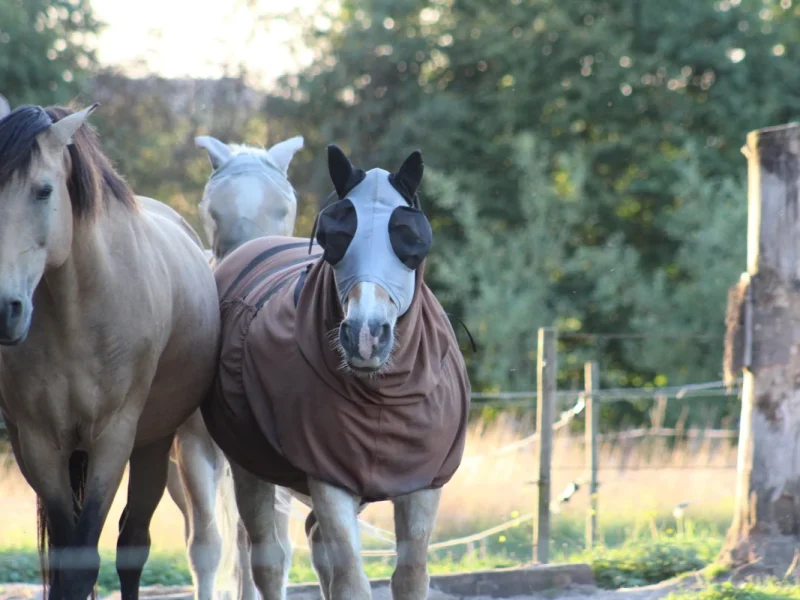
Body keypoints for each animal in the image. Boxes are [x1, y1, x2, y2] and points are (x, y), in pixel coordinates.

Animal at [0, 100, 221, 600]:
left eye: (43, 191)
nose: (3, 308)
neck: (77, 314)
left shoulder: (113, 439)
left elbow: (87, 560)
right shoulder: (39, 444)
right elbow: (65, 561)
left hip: (153, 445)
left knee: (133, 542)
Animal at [201, 145, 471, 599]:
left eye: (410, 237)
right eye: (334, 235)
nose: (365, 335)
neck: (380, 399)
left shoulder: (423, 484)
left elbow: (411, 574)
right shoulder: (328, 479)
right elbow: (350, 579)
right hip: (248, 470)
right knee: (267, 557)